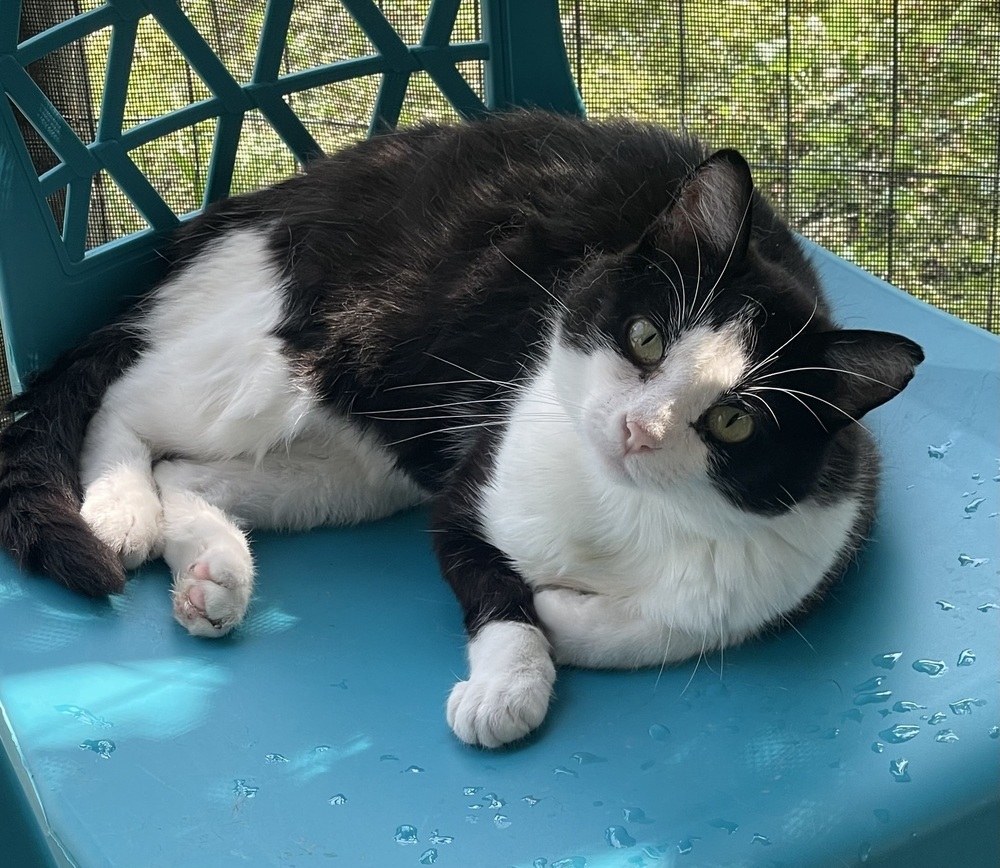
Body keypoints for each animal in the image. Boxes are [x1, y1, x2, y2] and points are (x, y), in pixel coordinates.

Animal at [0, 110, 920, 744]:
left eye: (733, 421)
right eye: (647, 338)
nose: (638, 431)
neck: (621, 520)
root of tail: (264, 202)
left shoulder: (812, 538)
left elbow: (683, 627)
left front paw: (566, 620)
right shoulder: (472, 494)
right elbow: (500, 596)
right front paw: (512, 683)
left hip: (366, 464)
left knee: (192, 471)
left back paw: (211, 572)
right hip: (295, 355)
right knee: (126, 397)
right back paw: (120, 509)